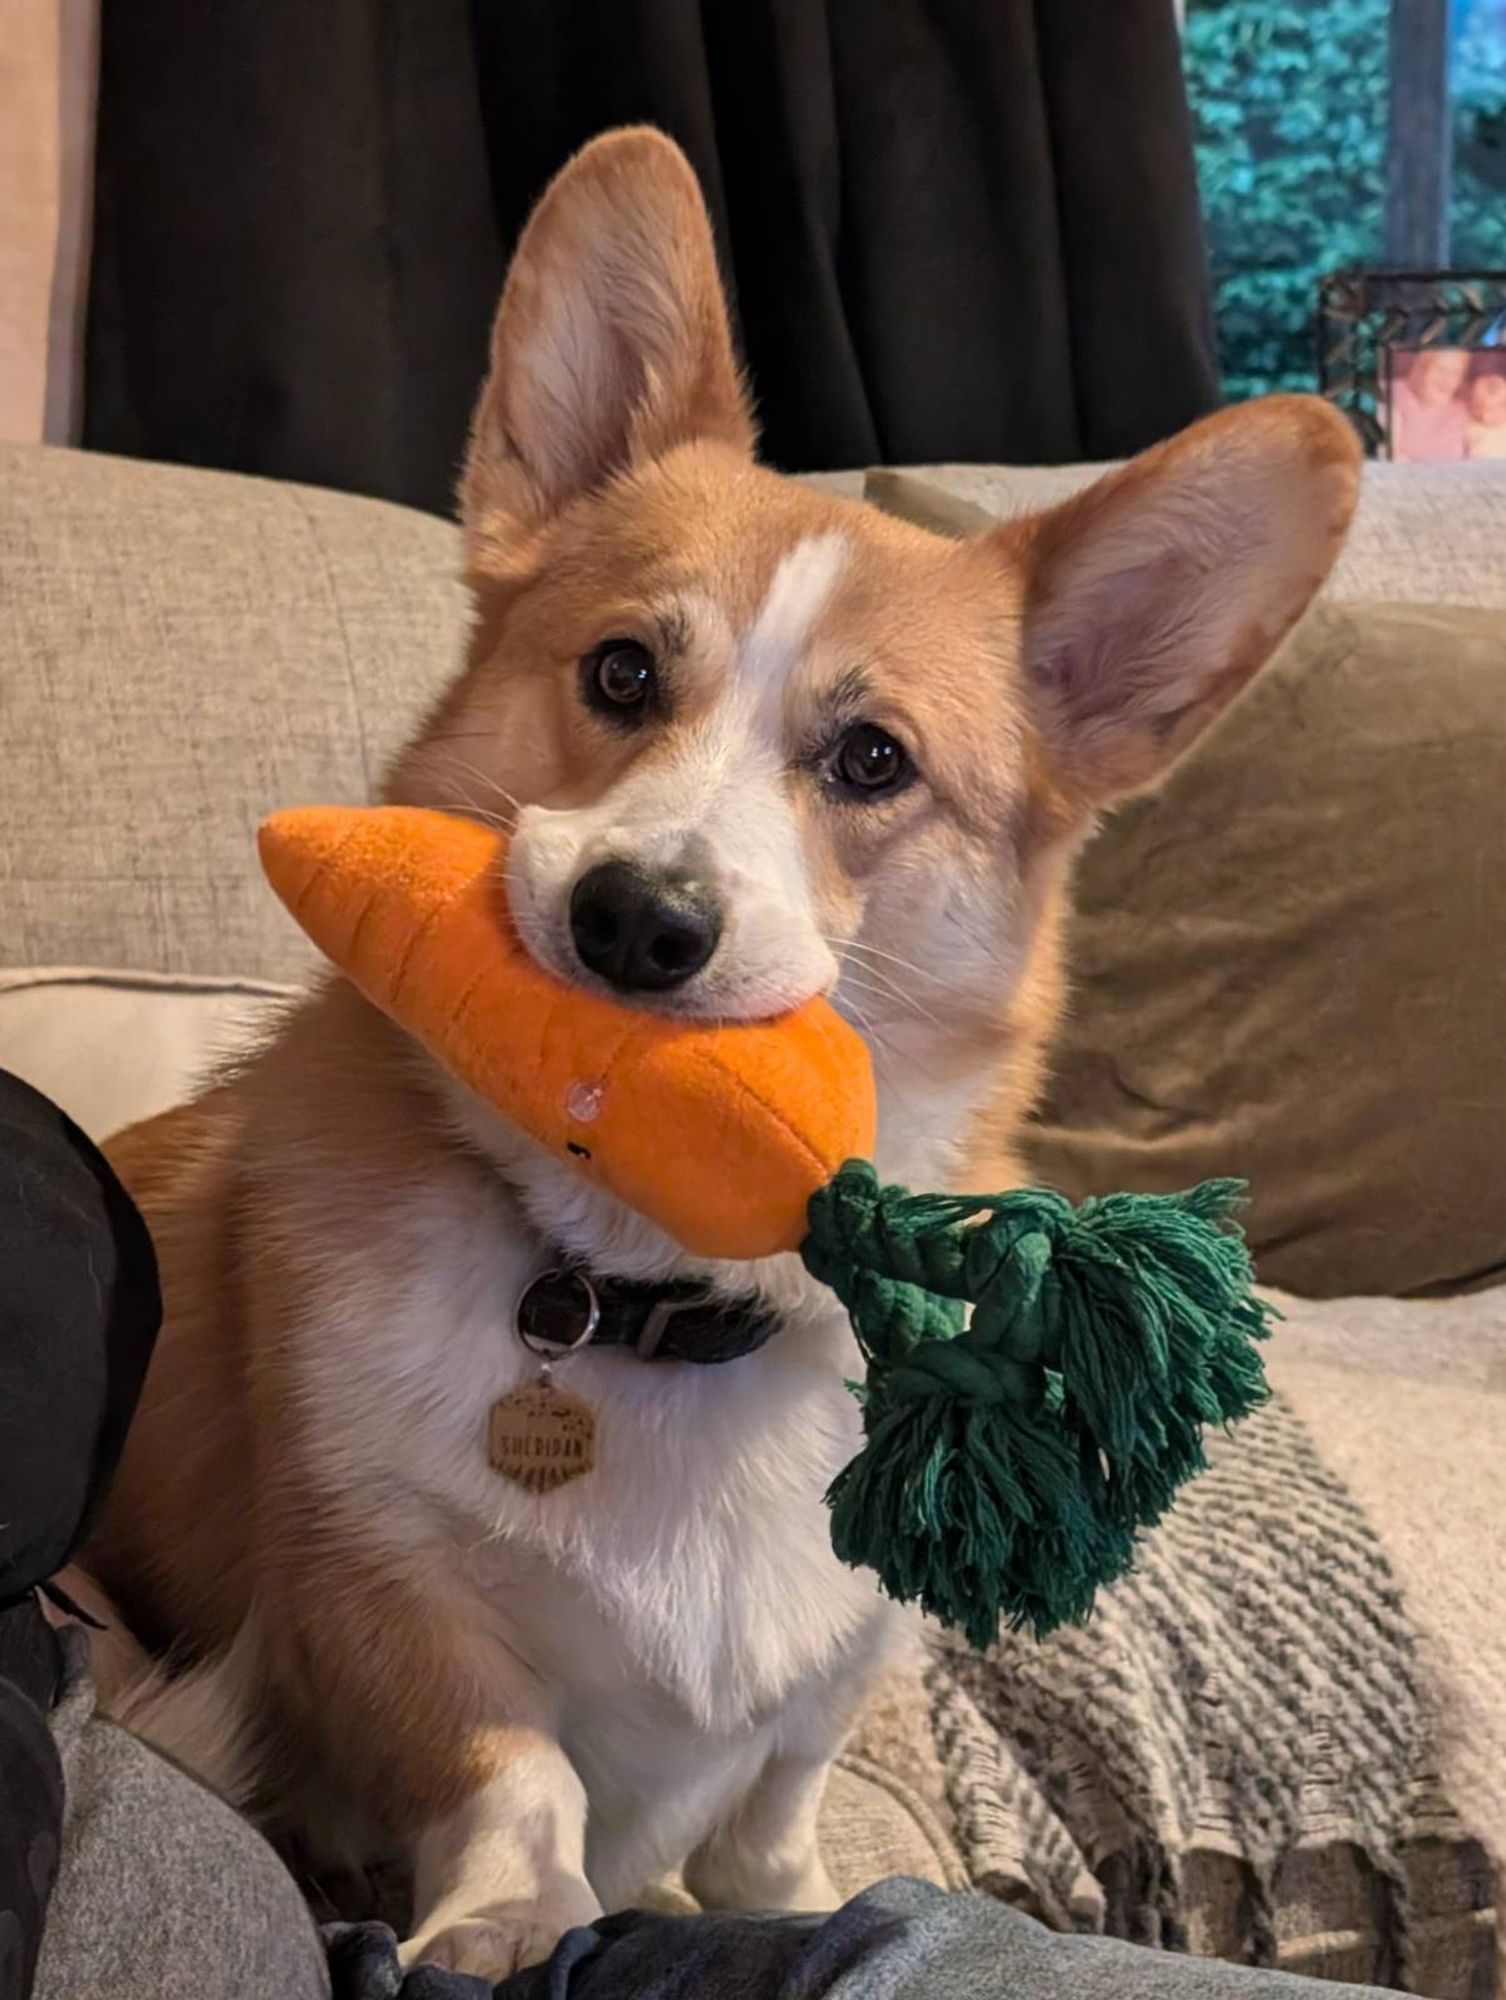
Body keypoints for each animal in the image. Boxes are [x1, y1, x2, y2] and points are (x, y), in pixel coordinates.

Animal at [88, 129, 1360, 1984]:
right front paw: (511, 1922)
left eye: (873, 759)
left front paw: (797, 1902)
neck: (648, 1291)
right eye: (622, 671)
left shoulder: (840, 1664)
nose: (638, 922)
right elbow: (510, 1763)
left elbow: (769, 1813)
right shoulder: (368, 1582)